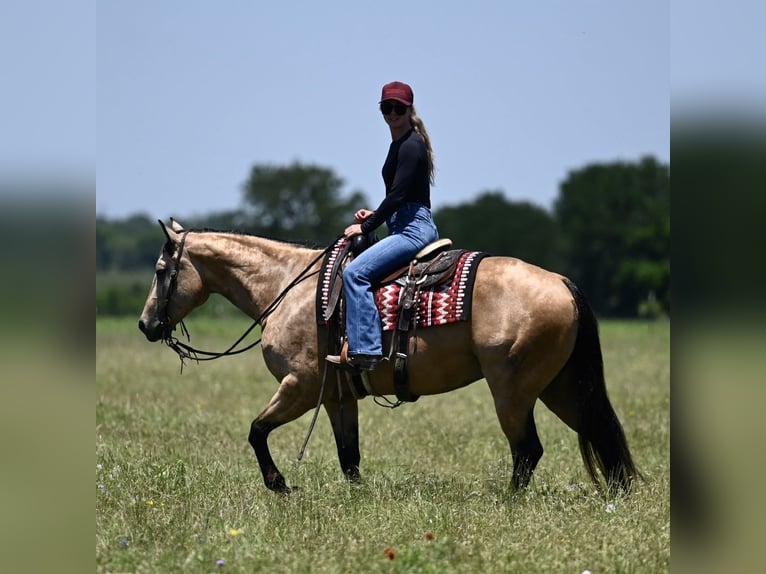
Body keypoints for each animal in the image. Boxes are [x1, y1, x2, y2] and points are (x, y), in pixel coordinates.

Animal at [138, 219, 639, 494]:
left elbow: (256, 431)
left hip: (512, 391)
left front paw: (279, 484)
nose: (146, 325)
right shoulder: (338, 398)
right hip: (561, 387)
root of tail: (561, 282)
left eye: (162, 271)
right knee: (598, 432)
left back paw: (510, 501)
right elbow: (349, 457)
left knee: (527, 450)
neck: (290, 289)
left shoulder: (300, 387)